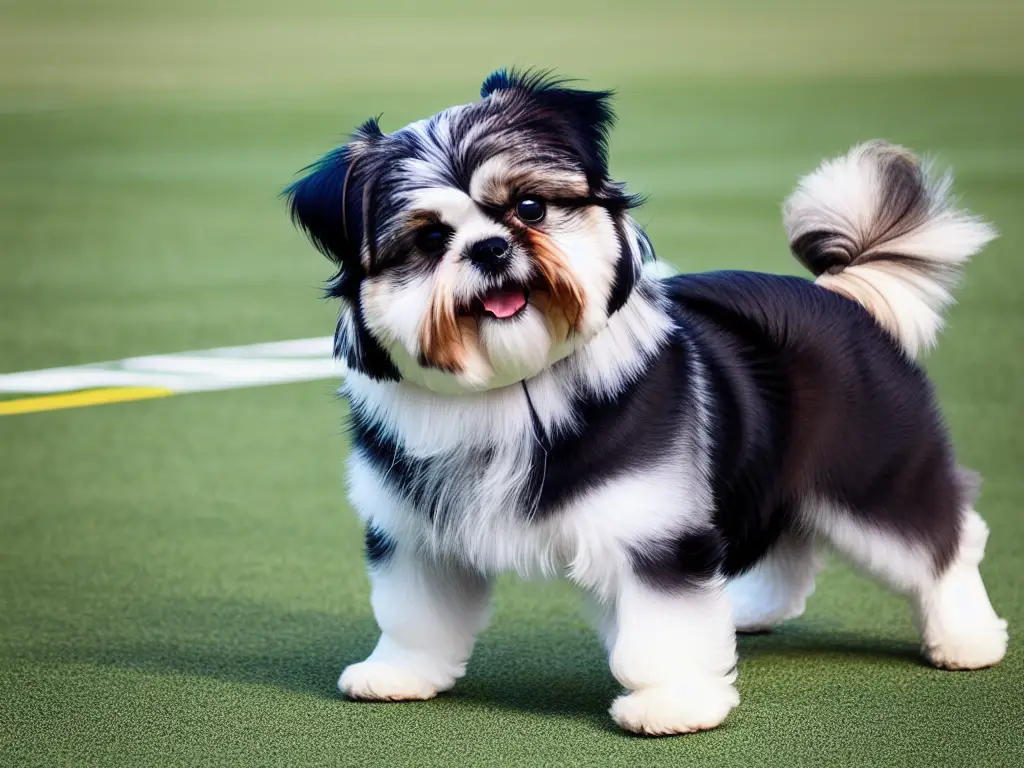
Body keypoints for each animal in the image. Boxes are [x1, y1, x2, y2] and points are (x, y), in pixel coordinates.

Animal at [288, 73, 1007, 741]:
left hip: (877, 476)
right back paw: (749, 607)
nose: (490, 248)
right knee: (791, 540)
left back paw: (967, 638)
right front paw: (399, 672)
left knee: (944, 542)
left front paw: (674, 705)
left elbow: (665, 632)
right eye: (431, 239)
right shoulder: (412, 532)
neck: (514, 388)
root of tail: (842, 293)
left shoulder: (653, 534)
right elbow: (415, 614)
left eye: (530, 207)